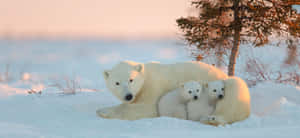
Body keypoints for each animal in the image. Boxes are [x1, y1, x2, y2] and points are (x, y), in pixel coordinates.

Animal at [96, 60, 227, 119]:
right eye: (117, 83)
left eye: (131, 80)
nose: (128, 96)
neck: (145, 77)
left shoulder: (153, 88)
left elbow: (147, 109)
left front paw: (103, 111)